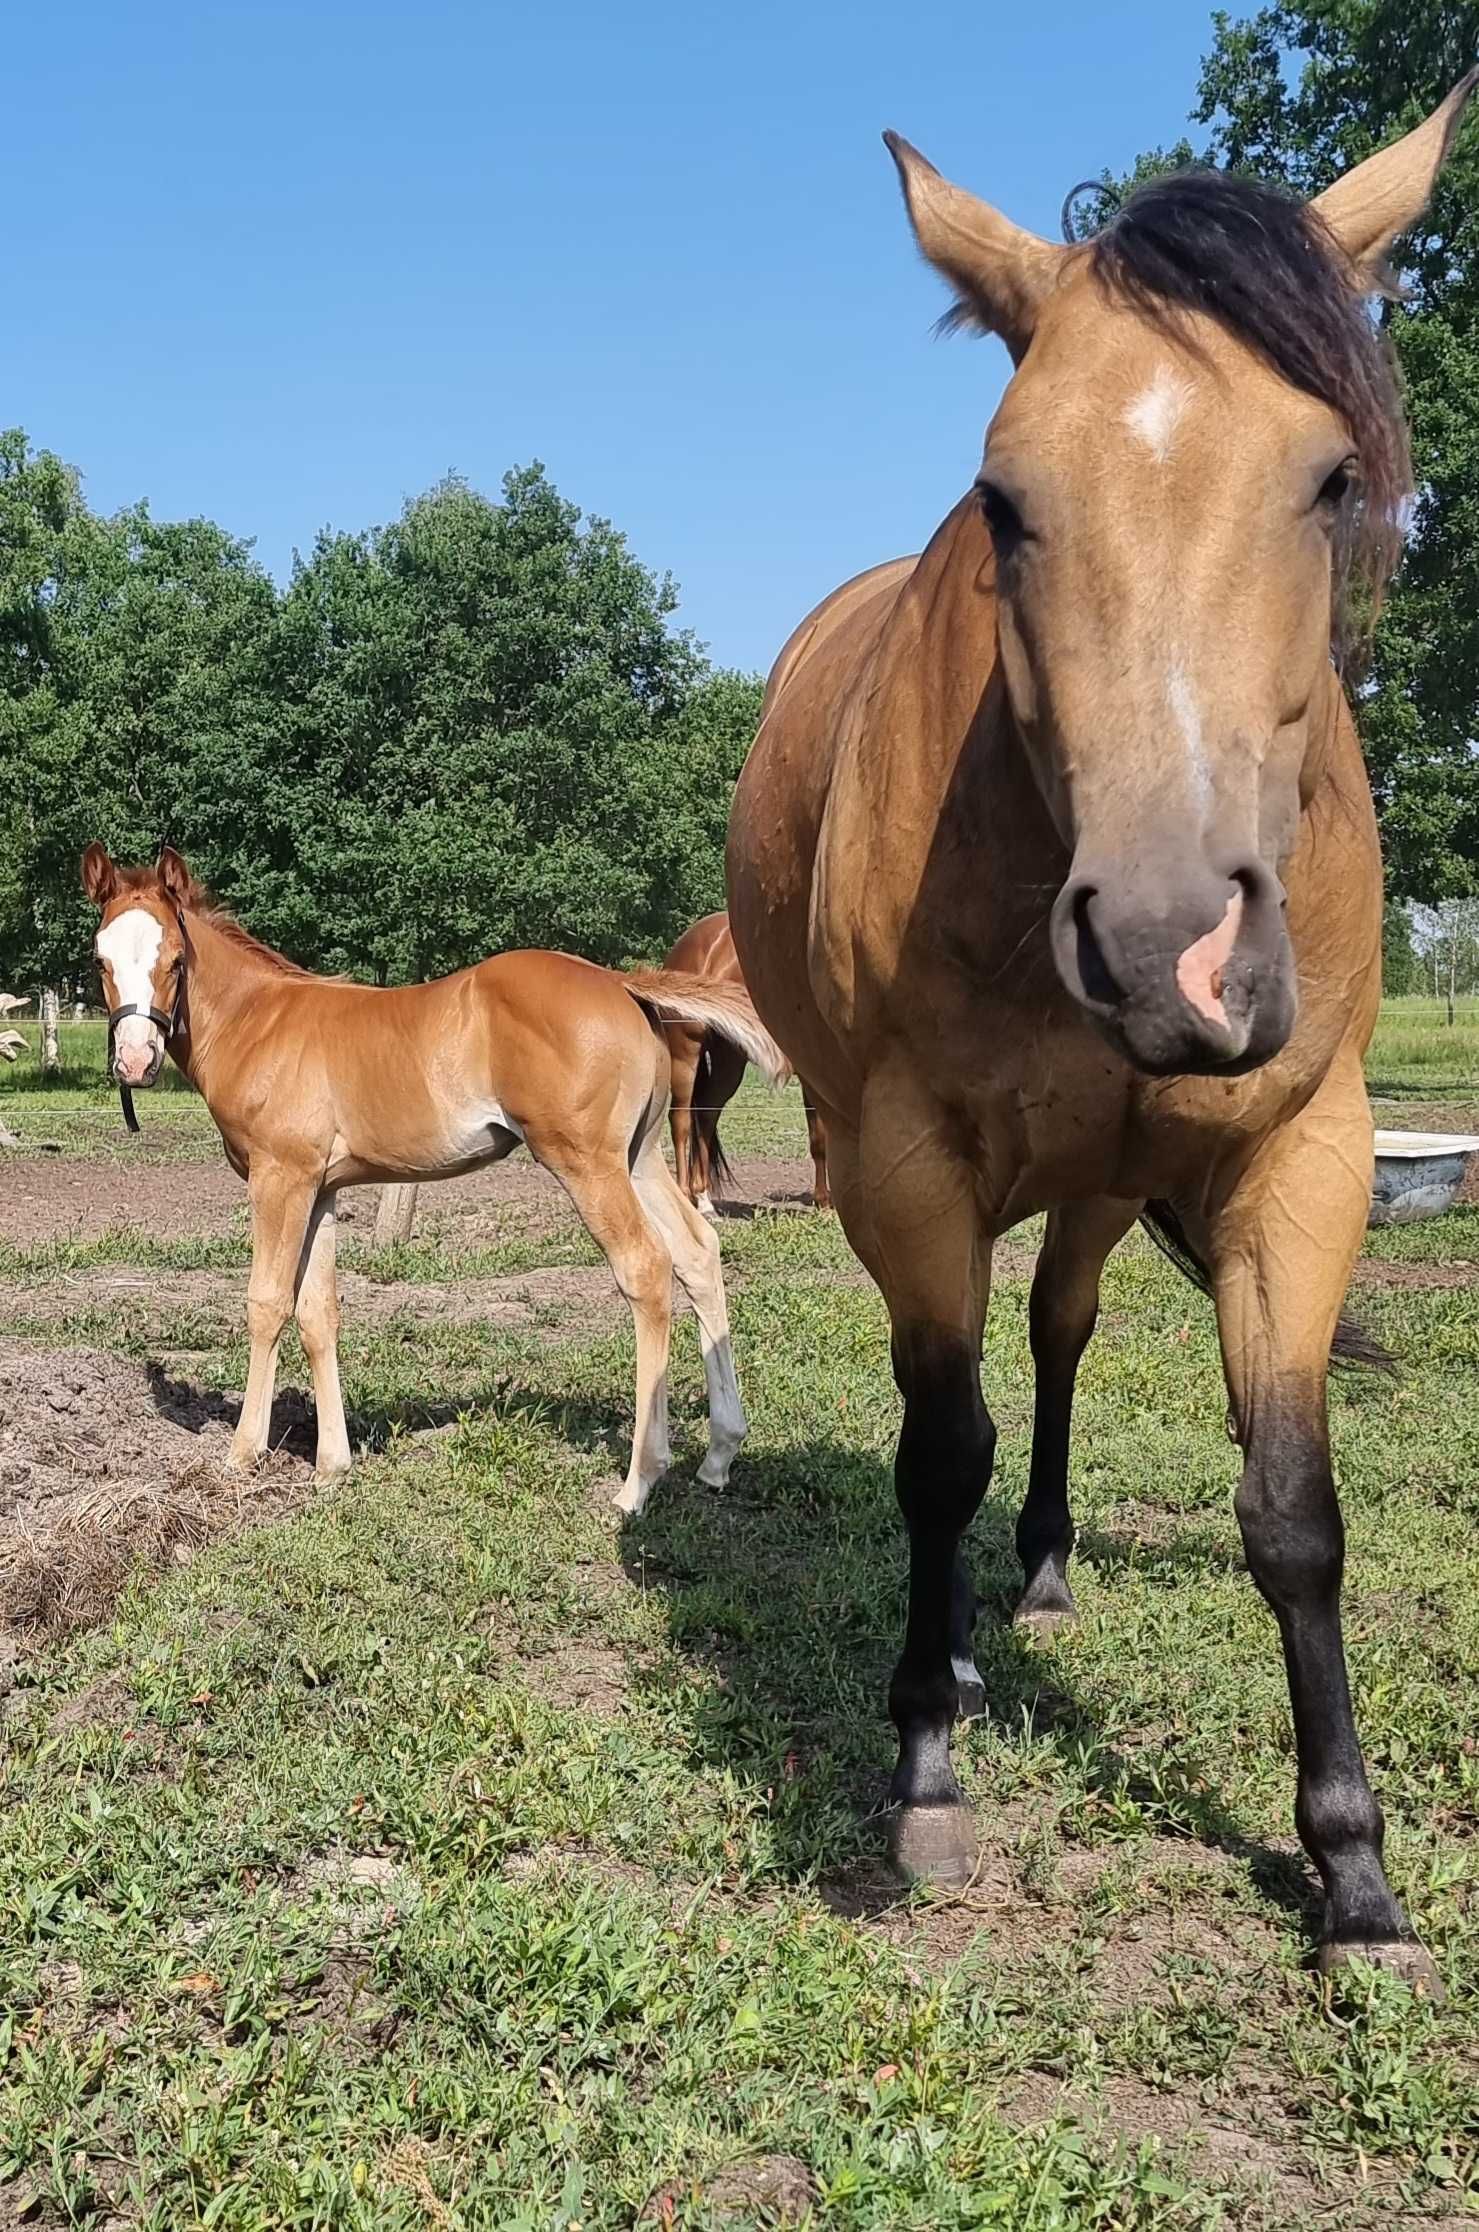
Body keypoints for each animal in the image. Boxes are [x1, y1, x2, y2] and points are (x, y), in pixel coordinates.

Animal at [87, 839, 794, 1517]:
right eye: (99, 959)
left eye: (175, 958)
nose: (134, 1061)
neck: (259, 1021)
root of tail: (621, 983)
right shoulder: (321, 1189)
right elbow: (319, 1313)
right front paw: (331, 1468)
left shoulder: (278, 1177)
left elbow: (268, 1302)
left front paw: (242, 1453)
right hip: (639, 1156)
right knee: (697, 1253)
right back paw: (719, 1455)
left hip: (586, 1161)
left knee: (645, 1267)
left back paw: (638, 1482)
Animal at [669, 910, 834, 1223]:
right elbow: (820, 1139)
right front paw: (825, 1203)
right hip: (686, 1053)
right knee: (680, 1121)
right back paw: (686, 1198)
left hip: (728, 1062)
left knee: (706, 1116)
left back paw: (704, 1201)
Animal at [731, 74, 1479, 1990]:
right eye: (1002, 500)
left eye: (1329, 477)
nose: (1166, 954)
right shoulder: (906, 1161)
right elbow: (934, 1452)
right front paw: (923, 1763)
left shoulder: (1300, 1162)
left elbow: (1290, 1513)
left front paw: (1350, 1873)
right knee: (960, 1388)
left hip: (1098, 1176)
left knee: (1058, 1336)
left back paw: (1048, 1567)